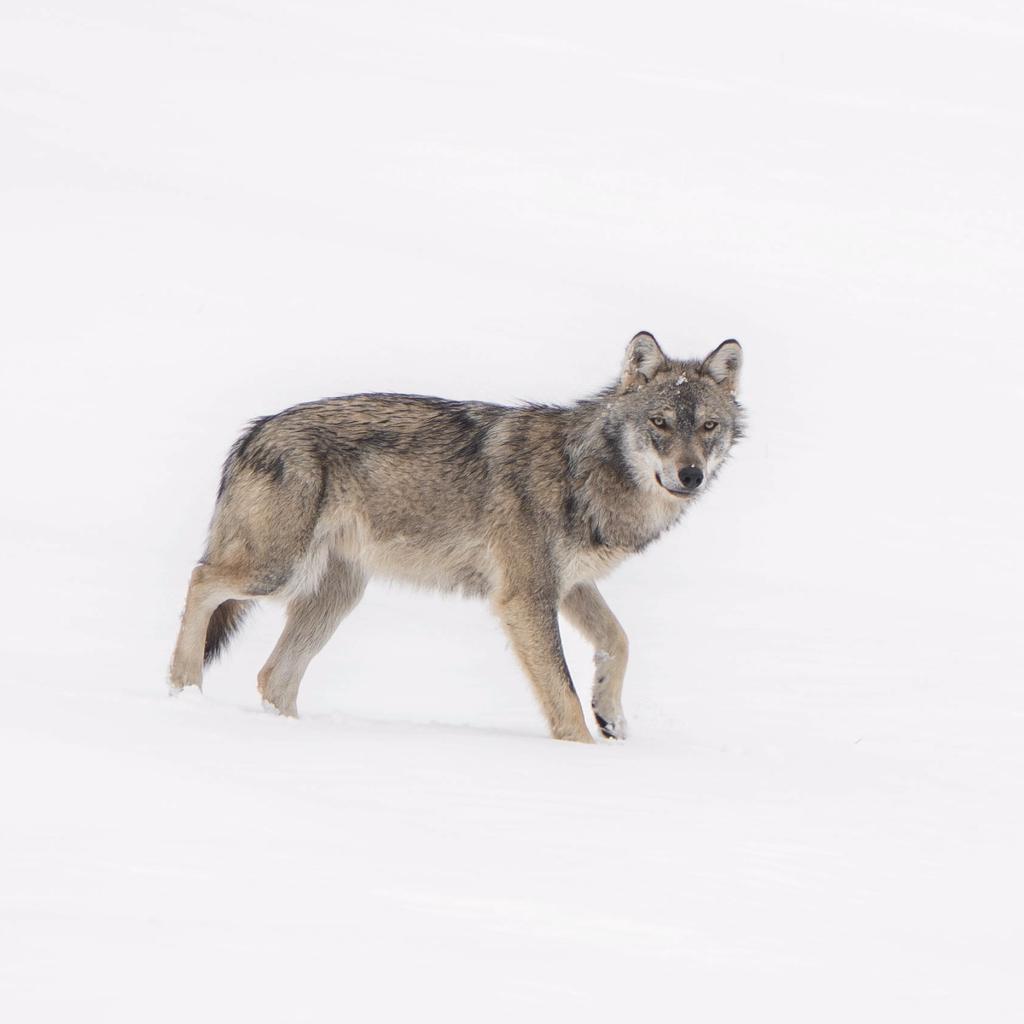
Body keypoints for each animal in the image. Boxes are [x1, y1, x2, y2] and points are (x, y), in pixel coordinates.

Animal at [169, 332, 744, 743]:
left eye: (708, 427)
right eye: (660, 423)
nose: (690, 475)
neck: (583, 472)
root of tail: (254, 431)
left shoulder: (570, 585)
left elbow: (619, 640)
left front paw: (611, 717)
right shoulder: (525, 597)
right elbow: (562, 695)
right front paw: (583, 752)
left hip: (335, 595)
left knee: (274, 677)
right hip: (276, 573)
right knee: (200, 580)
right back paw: (184, 690)